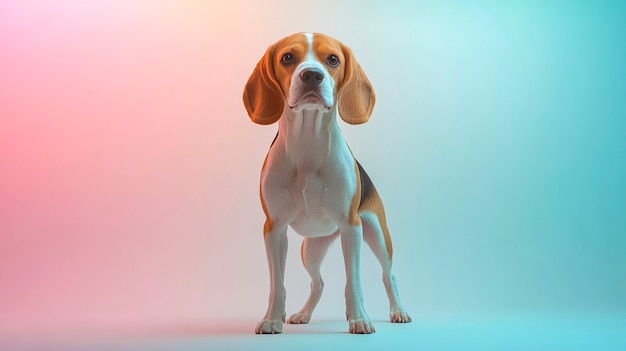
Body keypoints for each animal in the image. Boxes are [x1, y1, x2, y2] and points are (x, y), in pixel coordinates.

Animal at [240, 32, 410, 336]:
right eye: (287, 58)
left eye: (332, 59)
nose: (311, 75)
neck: (308, 145)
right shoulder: (274, 229)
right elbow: (277, 285)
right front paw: (272, 319)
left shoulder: (351, 227)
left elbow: (353, 282)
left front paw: (359, 319)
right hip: (310, 250)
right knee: (318, 283)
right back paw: (303, 314)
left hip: (377, 234)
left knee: (388, 274)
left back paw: (398, 311)